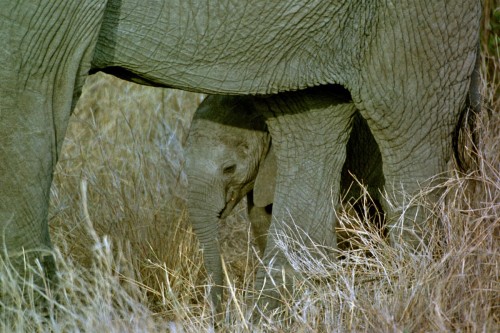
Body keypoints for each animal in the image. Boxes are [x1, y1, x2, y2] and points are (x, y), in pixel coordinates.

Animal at [1, 0, 482, 308]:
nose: (215, 307)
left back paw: (411, 286)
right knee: (310, 112)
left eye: (231, 167)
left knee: (407, 123)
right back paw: (282, 310)